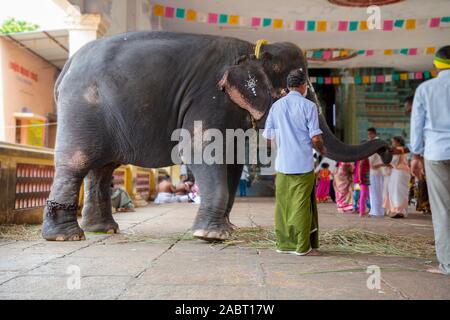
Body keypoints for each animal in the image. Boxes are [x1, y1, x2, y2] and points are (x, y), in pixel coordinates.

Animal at [42, 31, 392, 242]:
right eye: (297, 82)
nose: (388, 151)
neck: (252, 51)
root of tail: (65, 69)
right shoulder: (209, 96)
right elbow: (202, 151)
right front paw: (210, 236)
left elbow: (232, 160)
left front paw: (227, 230)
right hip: (82, 108)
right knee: (77, 163)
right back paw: (66, 236)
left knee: (102, 169)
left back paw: (103, 230)